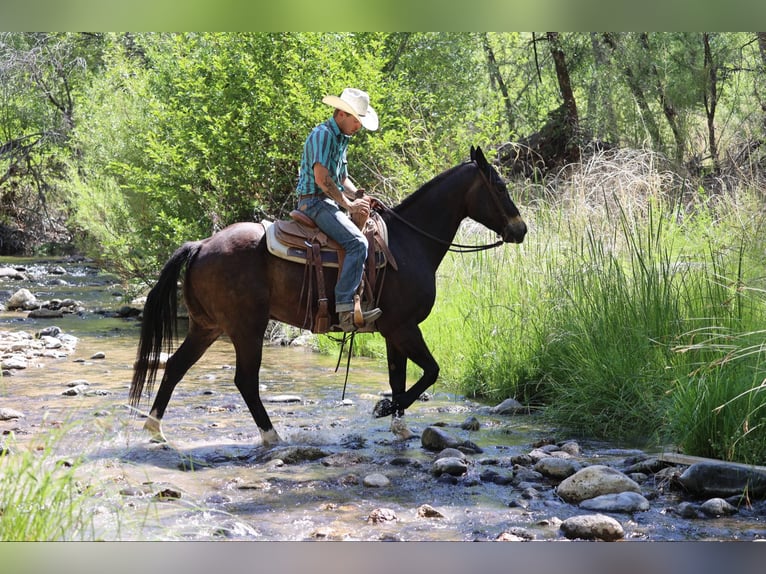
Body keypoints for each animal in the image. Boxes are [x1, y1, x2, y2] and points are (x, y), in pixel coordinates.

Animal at [129, 145, 527, 446]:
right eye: (500, 186)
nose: (520, 229)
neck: (409, 242)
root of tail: (200, 245)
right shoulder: (404, 327)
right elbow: (430, 372)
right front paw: (385, 409)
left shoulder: (393, 331)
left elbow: (399, 376)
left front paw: (398, 423)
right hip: (246, 329)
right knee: (245, 381)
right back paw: (271, 436)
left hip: (206, 327)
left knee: (176, 366)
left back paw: (155, 429)